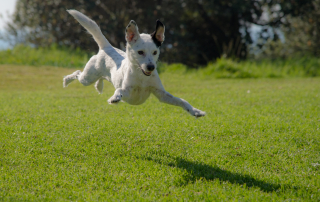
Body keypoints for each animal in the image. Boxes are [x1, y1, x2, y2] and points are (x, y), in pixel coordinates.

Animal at [63, 9, 206, 117]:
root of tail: (107, 47)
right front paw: (115, 98)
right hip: (87, 77)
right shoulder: (128, 92)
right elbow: (119, 90)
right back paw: (66, 80)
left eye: (155, 52)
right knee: (78, 73)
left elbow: (182, 101)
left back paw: (99, 86)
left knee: (100, 78)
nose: (151, 67)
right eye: (140, 52)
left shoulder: (162, 94)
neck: (142, 77)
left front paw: (195, 111)